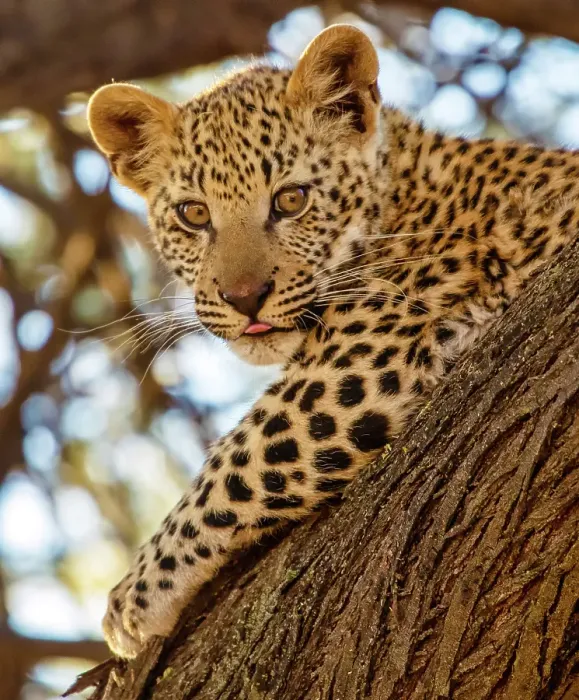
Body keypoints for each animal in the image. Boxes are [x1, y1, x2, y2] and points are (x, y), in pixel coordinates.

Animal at [87, 24, 579, 658]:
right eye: (193, 215)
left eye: (291, 200)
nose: (245, 298)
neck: (403, 197)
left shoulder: (358, 365)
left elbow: (236, 457)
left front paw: (136, 594)